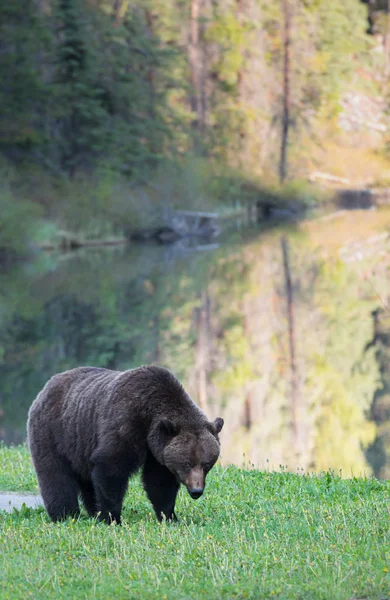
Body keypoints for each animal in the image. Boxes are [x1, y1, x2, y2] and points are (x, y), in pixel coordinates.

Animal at [26, 364, 222, 524]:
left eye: (206, 464)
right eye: (187, 463)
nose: (196, 490)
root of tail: (45, 388)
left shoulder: (157, 450)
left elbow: (159, 481)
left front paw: (169, 516)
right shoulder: (126, 423)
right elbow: (111, 468)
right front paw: (111, 517)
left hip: (80, 445)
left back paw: (91, 511)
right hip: (54, 433)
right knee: (55, 475)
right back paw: (66, 515)